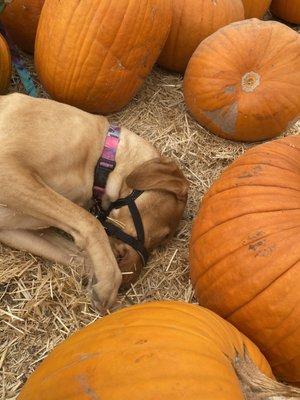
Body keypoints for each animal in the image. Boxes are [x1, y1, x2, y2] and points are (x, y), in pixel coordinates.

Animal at [0, 94, 188, 310]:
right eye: (162, 236)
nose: (129, 281)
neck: (101, 157)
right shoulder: (7, 167)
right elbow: (90, 222)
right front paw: (110, 281)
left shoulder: (13, 231)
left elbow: (79, 255)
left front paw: (101, 280)